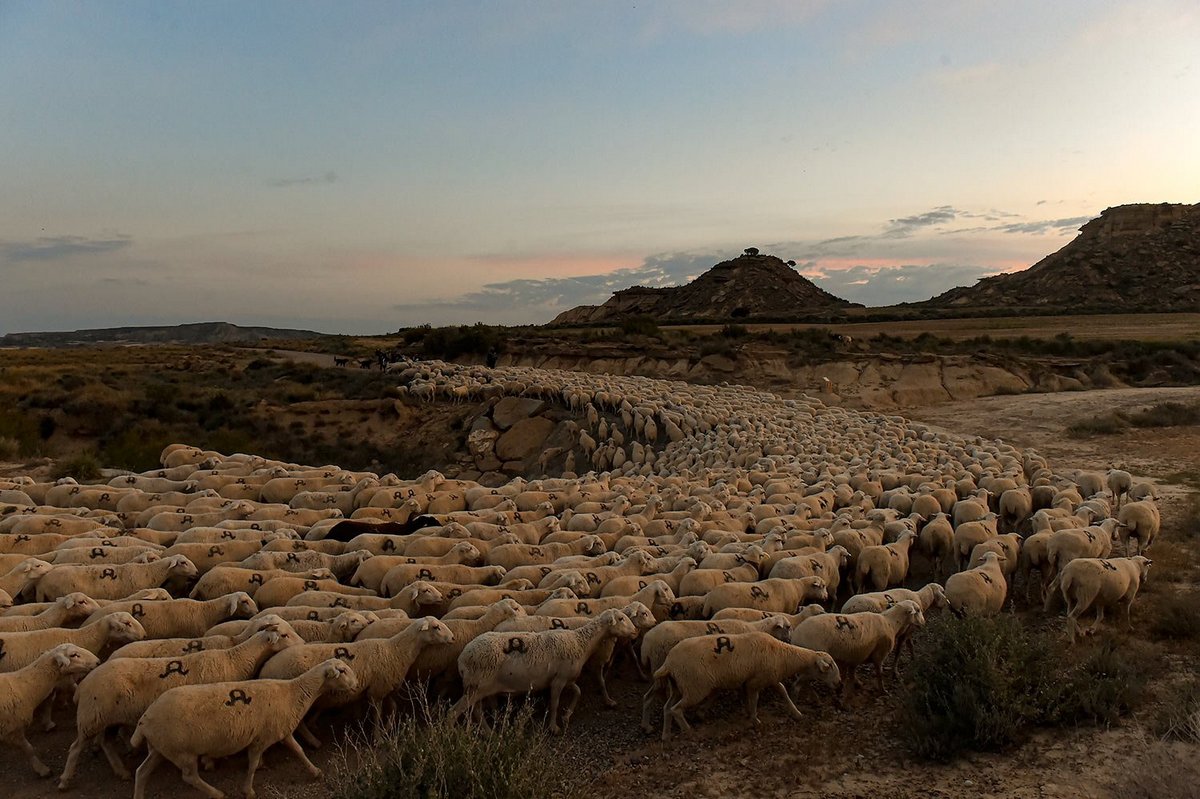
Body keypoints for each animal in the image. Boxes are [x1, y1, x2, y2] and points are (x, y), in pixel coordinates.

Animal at [0, 643, 100, 772]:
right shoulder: (12, 729)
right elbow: (29, 749)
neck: (22, 687)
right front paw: (42, 769)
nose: (98, 661)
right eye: (73, 655)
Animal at [451, 607, 638, 729]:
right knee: (455, 711)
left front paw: (567, 716)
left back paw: (488, 732)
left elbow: (578, 692)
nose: (636, 631)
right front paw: (554, 727)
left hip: (478, 688)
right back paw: (453, 732)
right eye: (621, 619)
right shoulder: (557, 681)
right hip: (476, 687)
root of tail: (461, 659)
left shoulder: (565, 678)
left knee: (476, 711)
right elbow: (554, 703)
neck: (581, 642)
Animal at [652, 628, 840, 739]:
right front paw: (755, 720)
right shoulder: (755, 682)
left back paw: (666, 735)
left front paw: (796, 713)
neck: (782, 655)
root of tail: (668, 663)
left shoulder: (767, 677)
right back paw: (688, 730)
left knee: (667, 708)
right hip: (694, 688)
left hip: (678, 686)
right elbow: (755, 699)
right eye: (830, 666)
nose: (839, 682)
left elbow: (782, 691)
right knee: (676, 709)